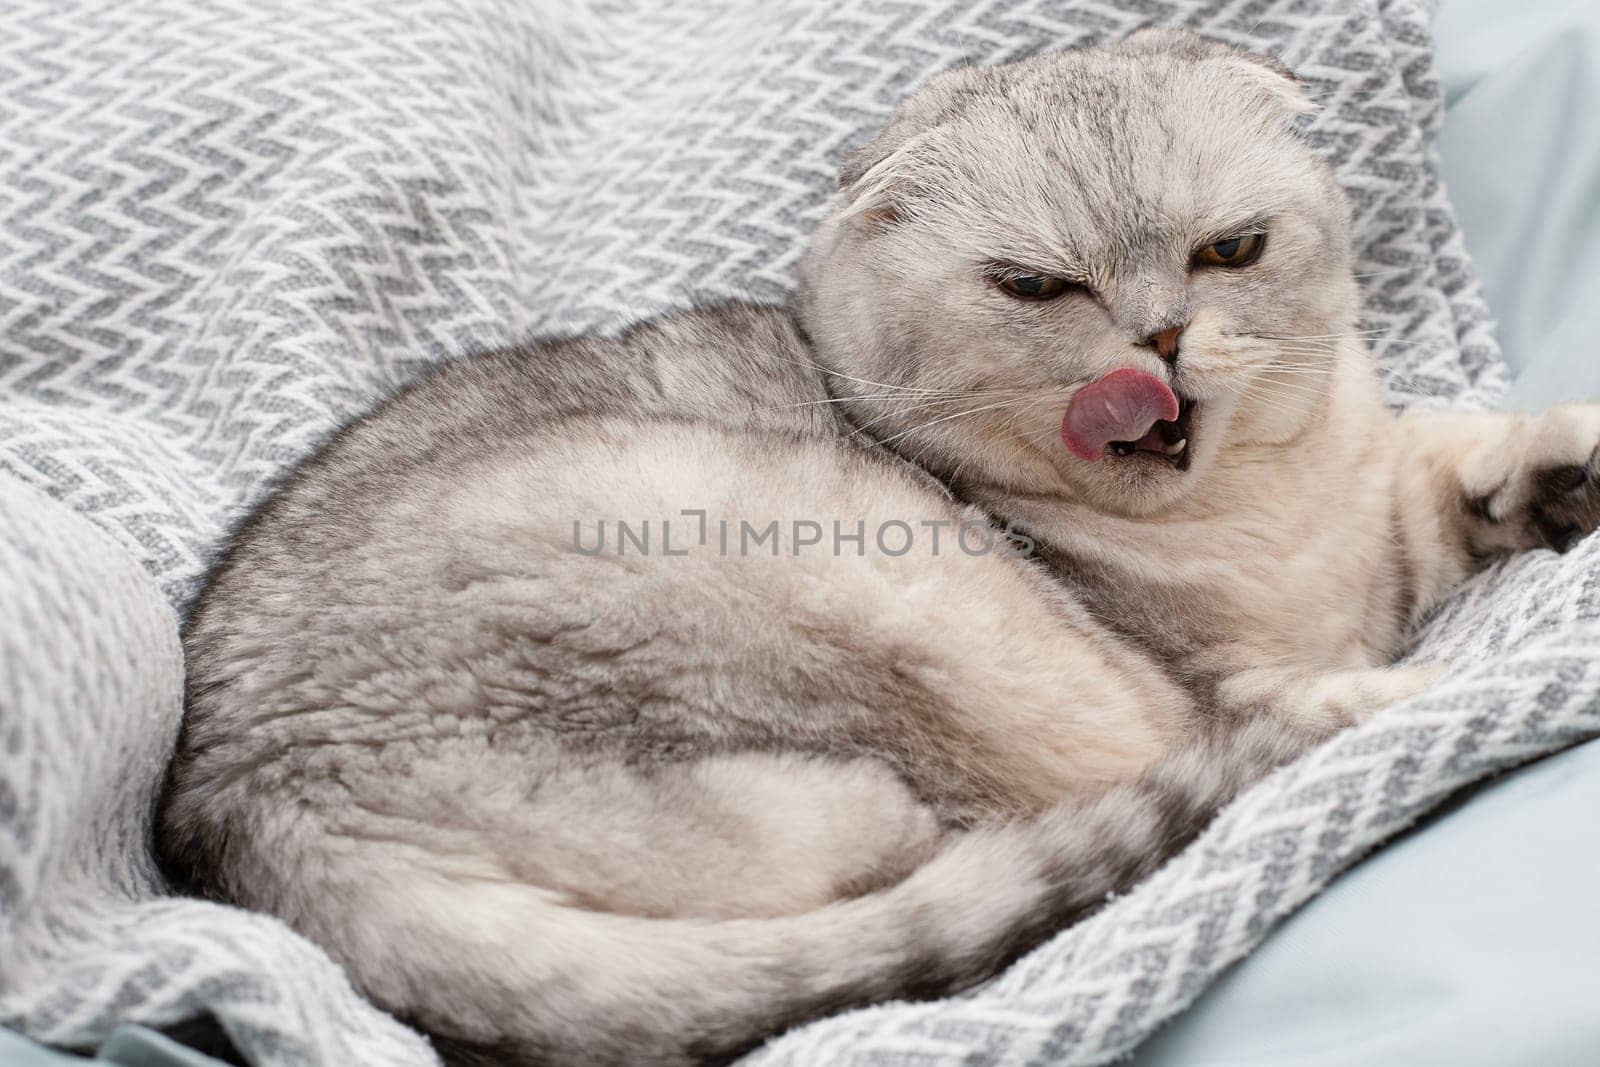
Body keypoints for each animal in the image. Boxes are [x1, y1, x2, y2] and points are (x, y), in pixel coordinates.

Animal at [156, 29, 1600, 1062]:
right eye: (1036, 287)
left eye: (1229, 250)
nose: (1160, 342)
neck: (1261, 514)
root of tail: (252, 810)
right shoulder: (1182, 663)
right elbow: (1271, 677)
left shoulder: (1373, 504)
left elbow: (1447, 462)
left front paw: (1555, 472)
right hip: (850, 581)